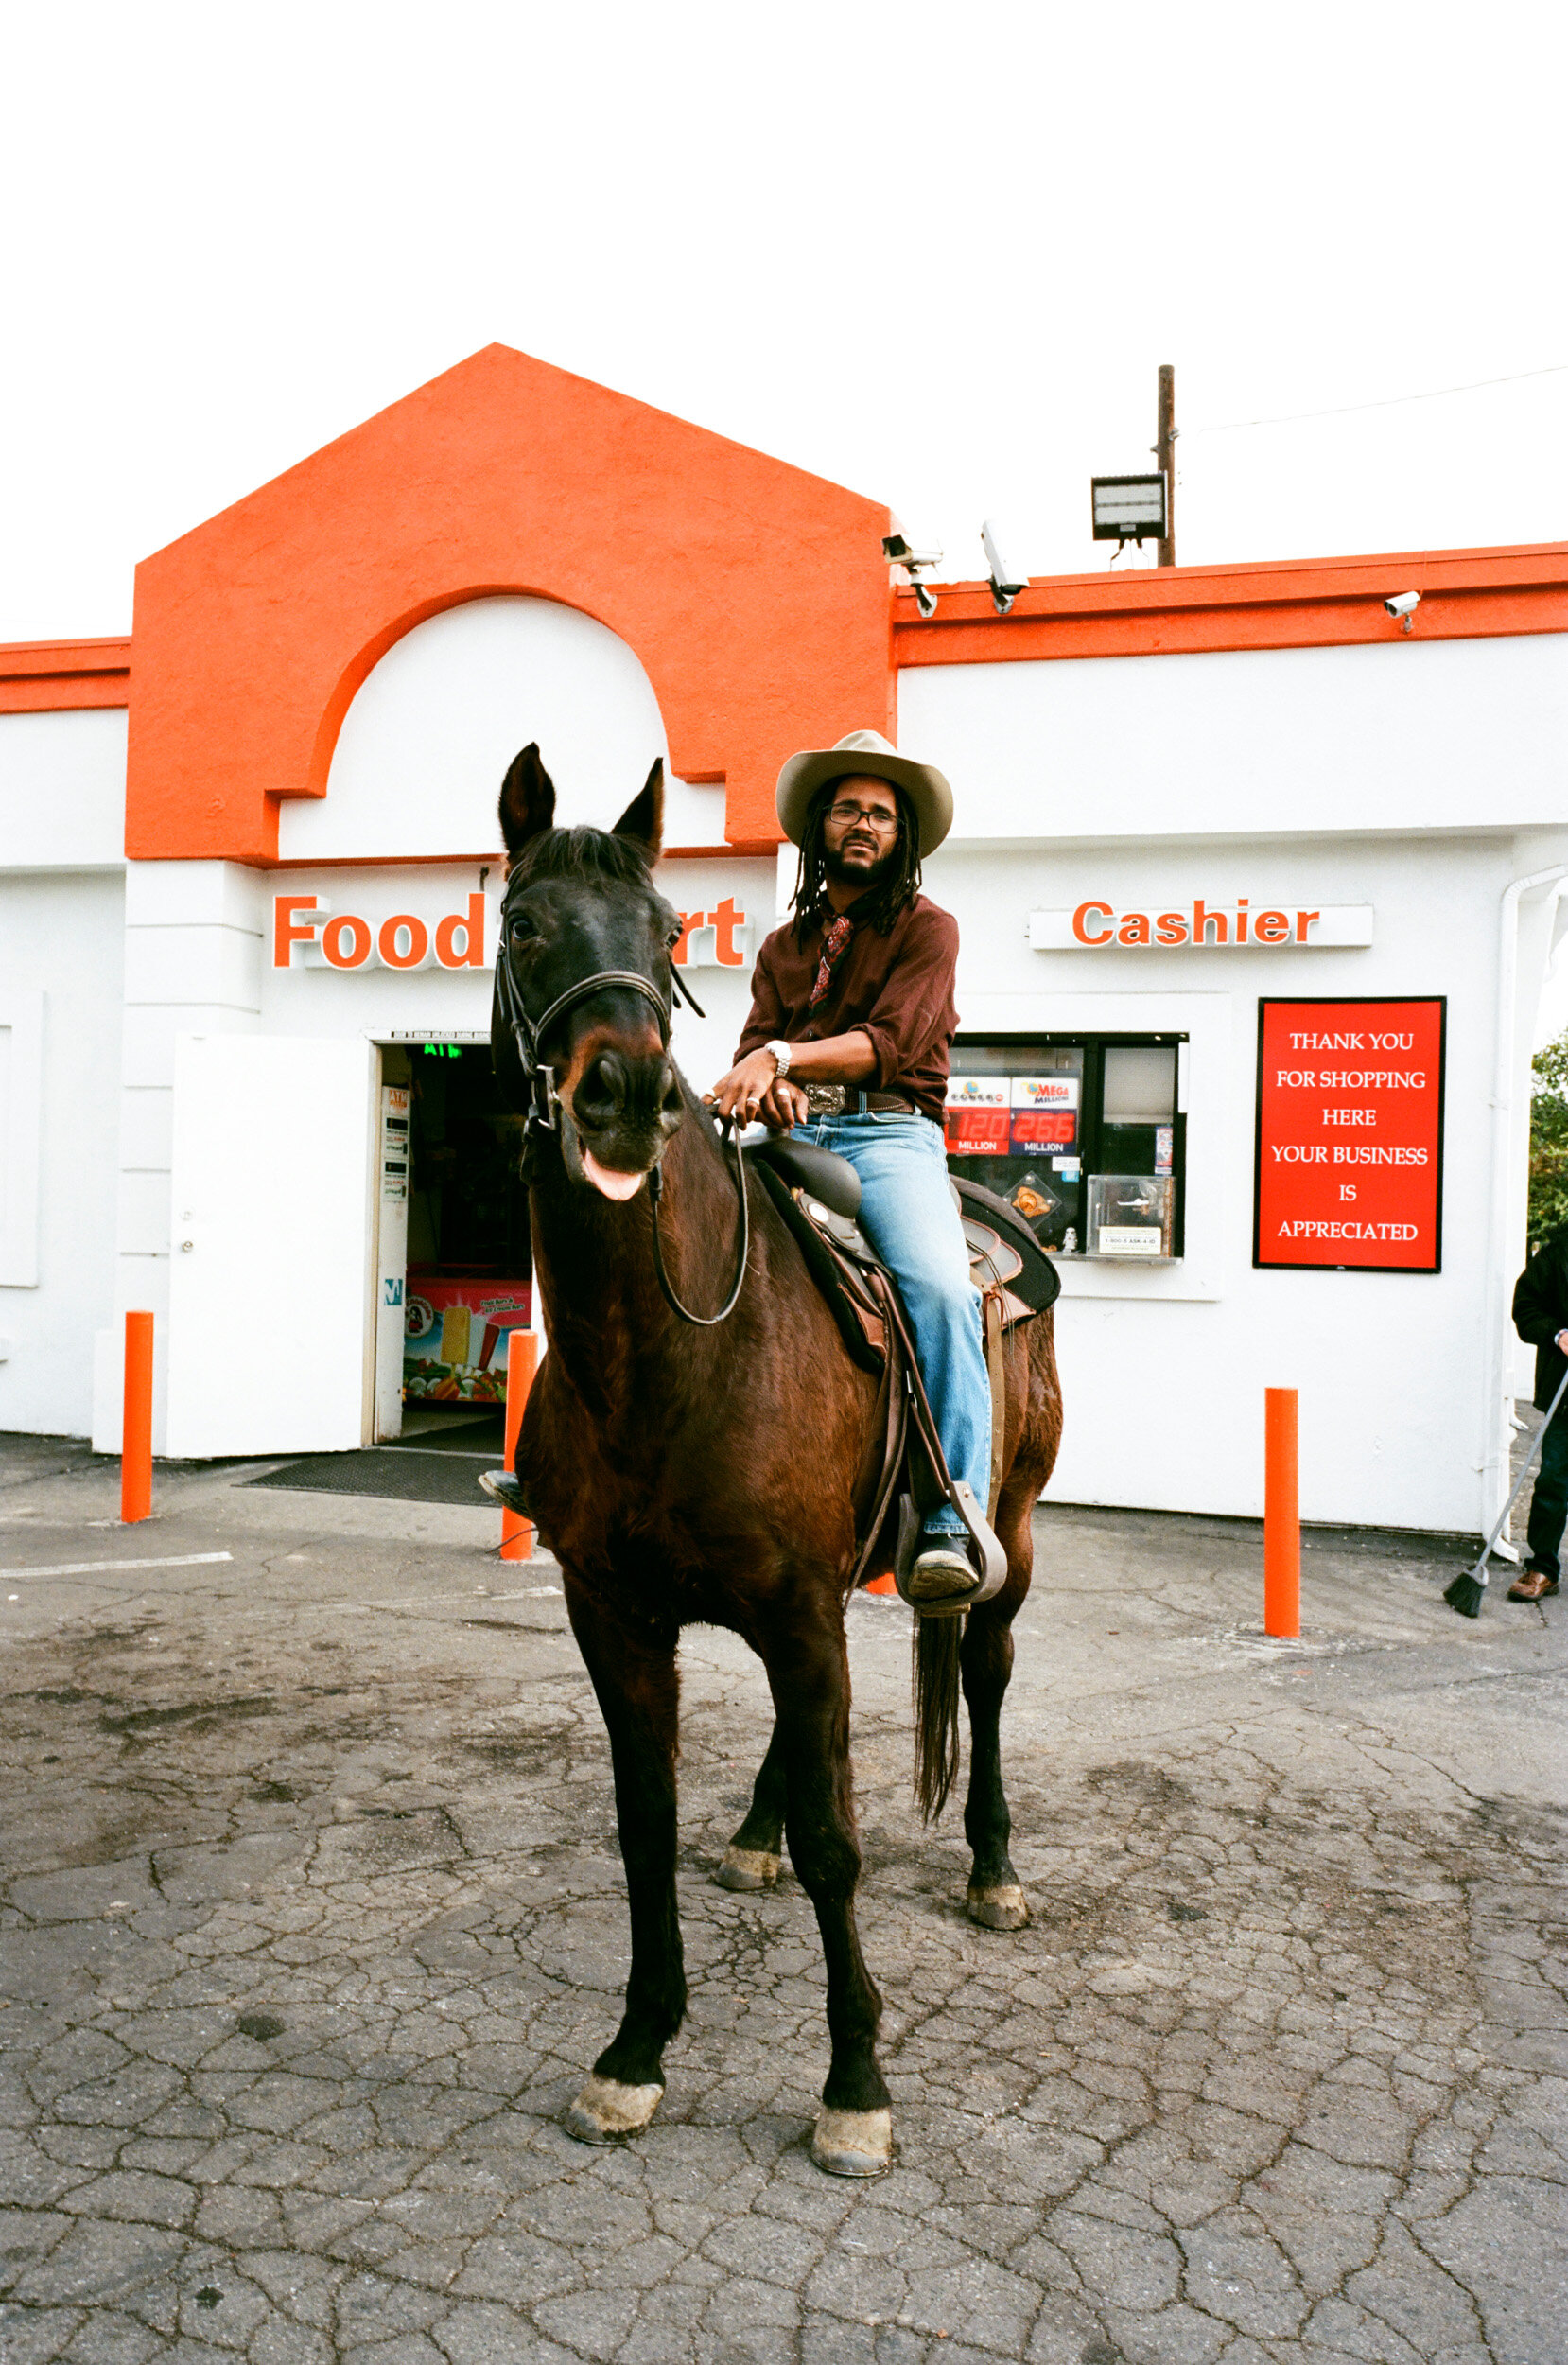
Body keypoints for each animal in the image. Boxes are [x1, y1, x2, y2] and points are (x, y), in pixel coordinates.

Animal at [497, 743, 1059, 2176]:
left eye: (664, 930)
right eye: (522, 924)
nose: (625, 1098)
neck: (671, 1357)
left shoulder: (802, 1615)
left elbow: (837, 1843)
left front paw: (854, 2082)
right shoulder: (619, 1615)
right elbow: (644, 1823)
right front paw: (633, 2053)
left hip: (1009, 1537)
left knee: (984, 1675)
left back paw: (992, 1869)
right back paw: (749, 1830)